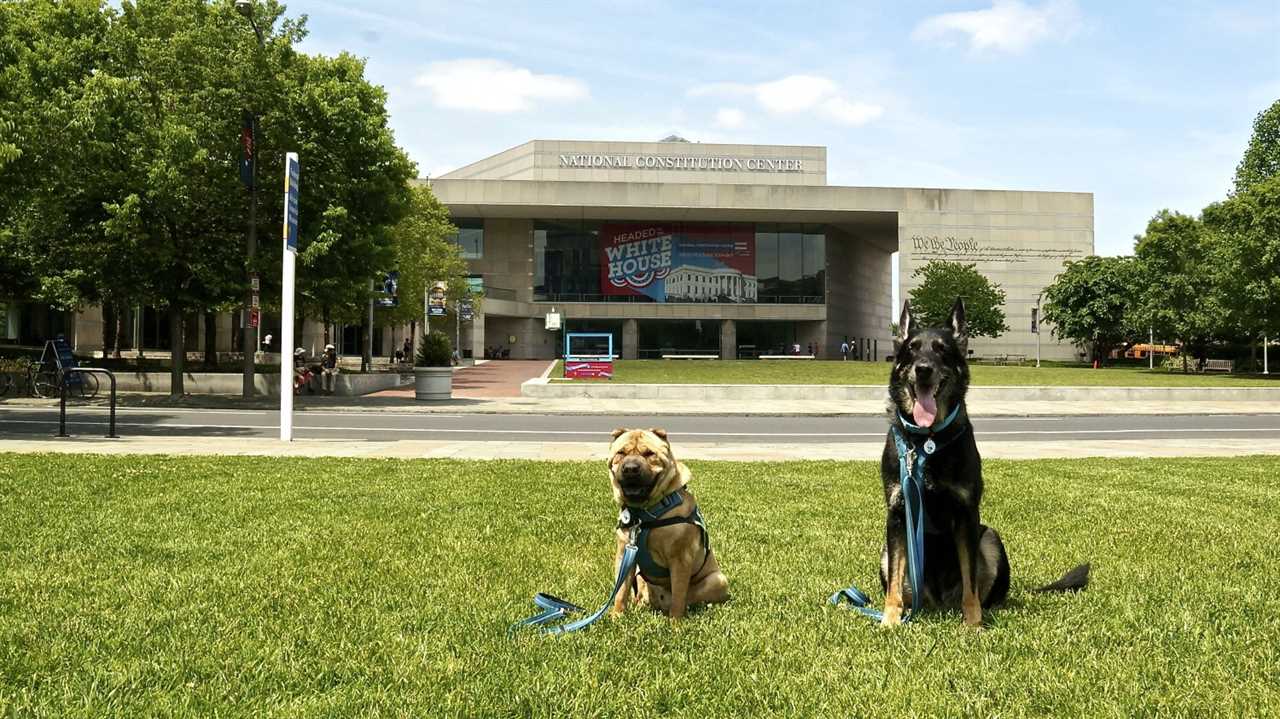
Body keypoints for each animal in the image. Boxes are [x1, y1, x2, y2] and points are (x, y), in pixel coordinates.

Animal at [606, 424, 732, 616]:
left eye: (649, 453)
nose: (630, 468)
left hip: (717, 579)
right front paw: (617, 617)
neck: (645, 514)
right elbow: (621, 591)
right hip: (639, 575)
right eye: (621, 452)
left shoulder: (680, 559)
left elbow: (679, 596)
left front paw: (675, 621)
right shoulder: (624, 555)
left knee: (690, 598)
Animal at [880, 294, 1090, 624]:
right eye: (911, 349)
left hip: (990, 536)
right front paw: (889, 620)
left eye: (941, 349)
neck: (927, 439)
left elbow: (971, 583)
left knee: (984, 590)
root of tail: (938, 603)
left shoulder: (967, 515)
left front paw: (973, 623)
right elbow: (894, 584)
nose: (923, 369)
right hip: (885, 552)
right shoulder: (897, 515)